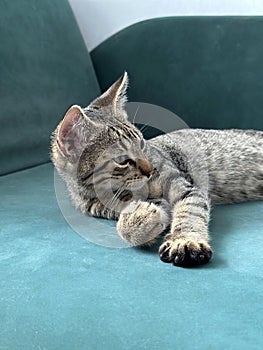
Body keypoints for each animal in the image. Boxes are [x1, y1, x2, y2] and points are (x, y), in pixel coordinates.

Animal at [51, 72, 263, 268]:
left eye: (142, 144)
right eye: (122, 160)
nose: (150, 169)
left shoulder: (185, 187)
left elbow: (189, 213)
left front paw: (184, 240)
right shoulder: (100, 206)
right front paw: (139, 221)